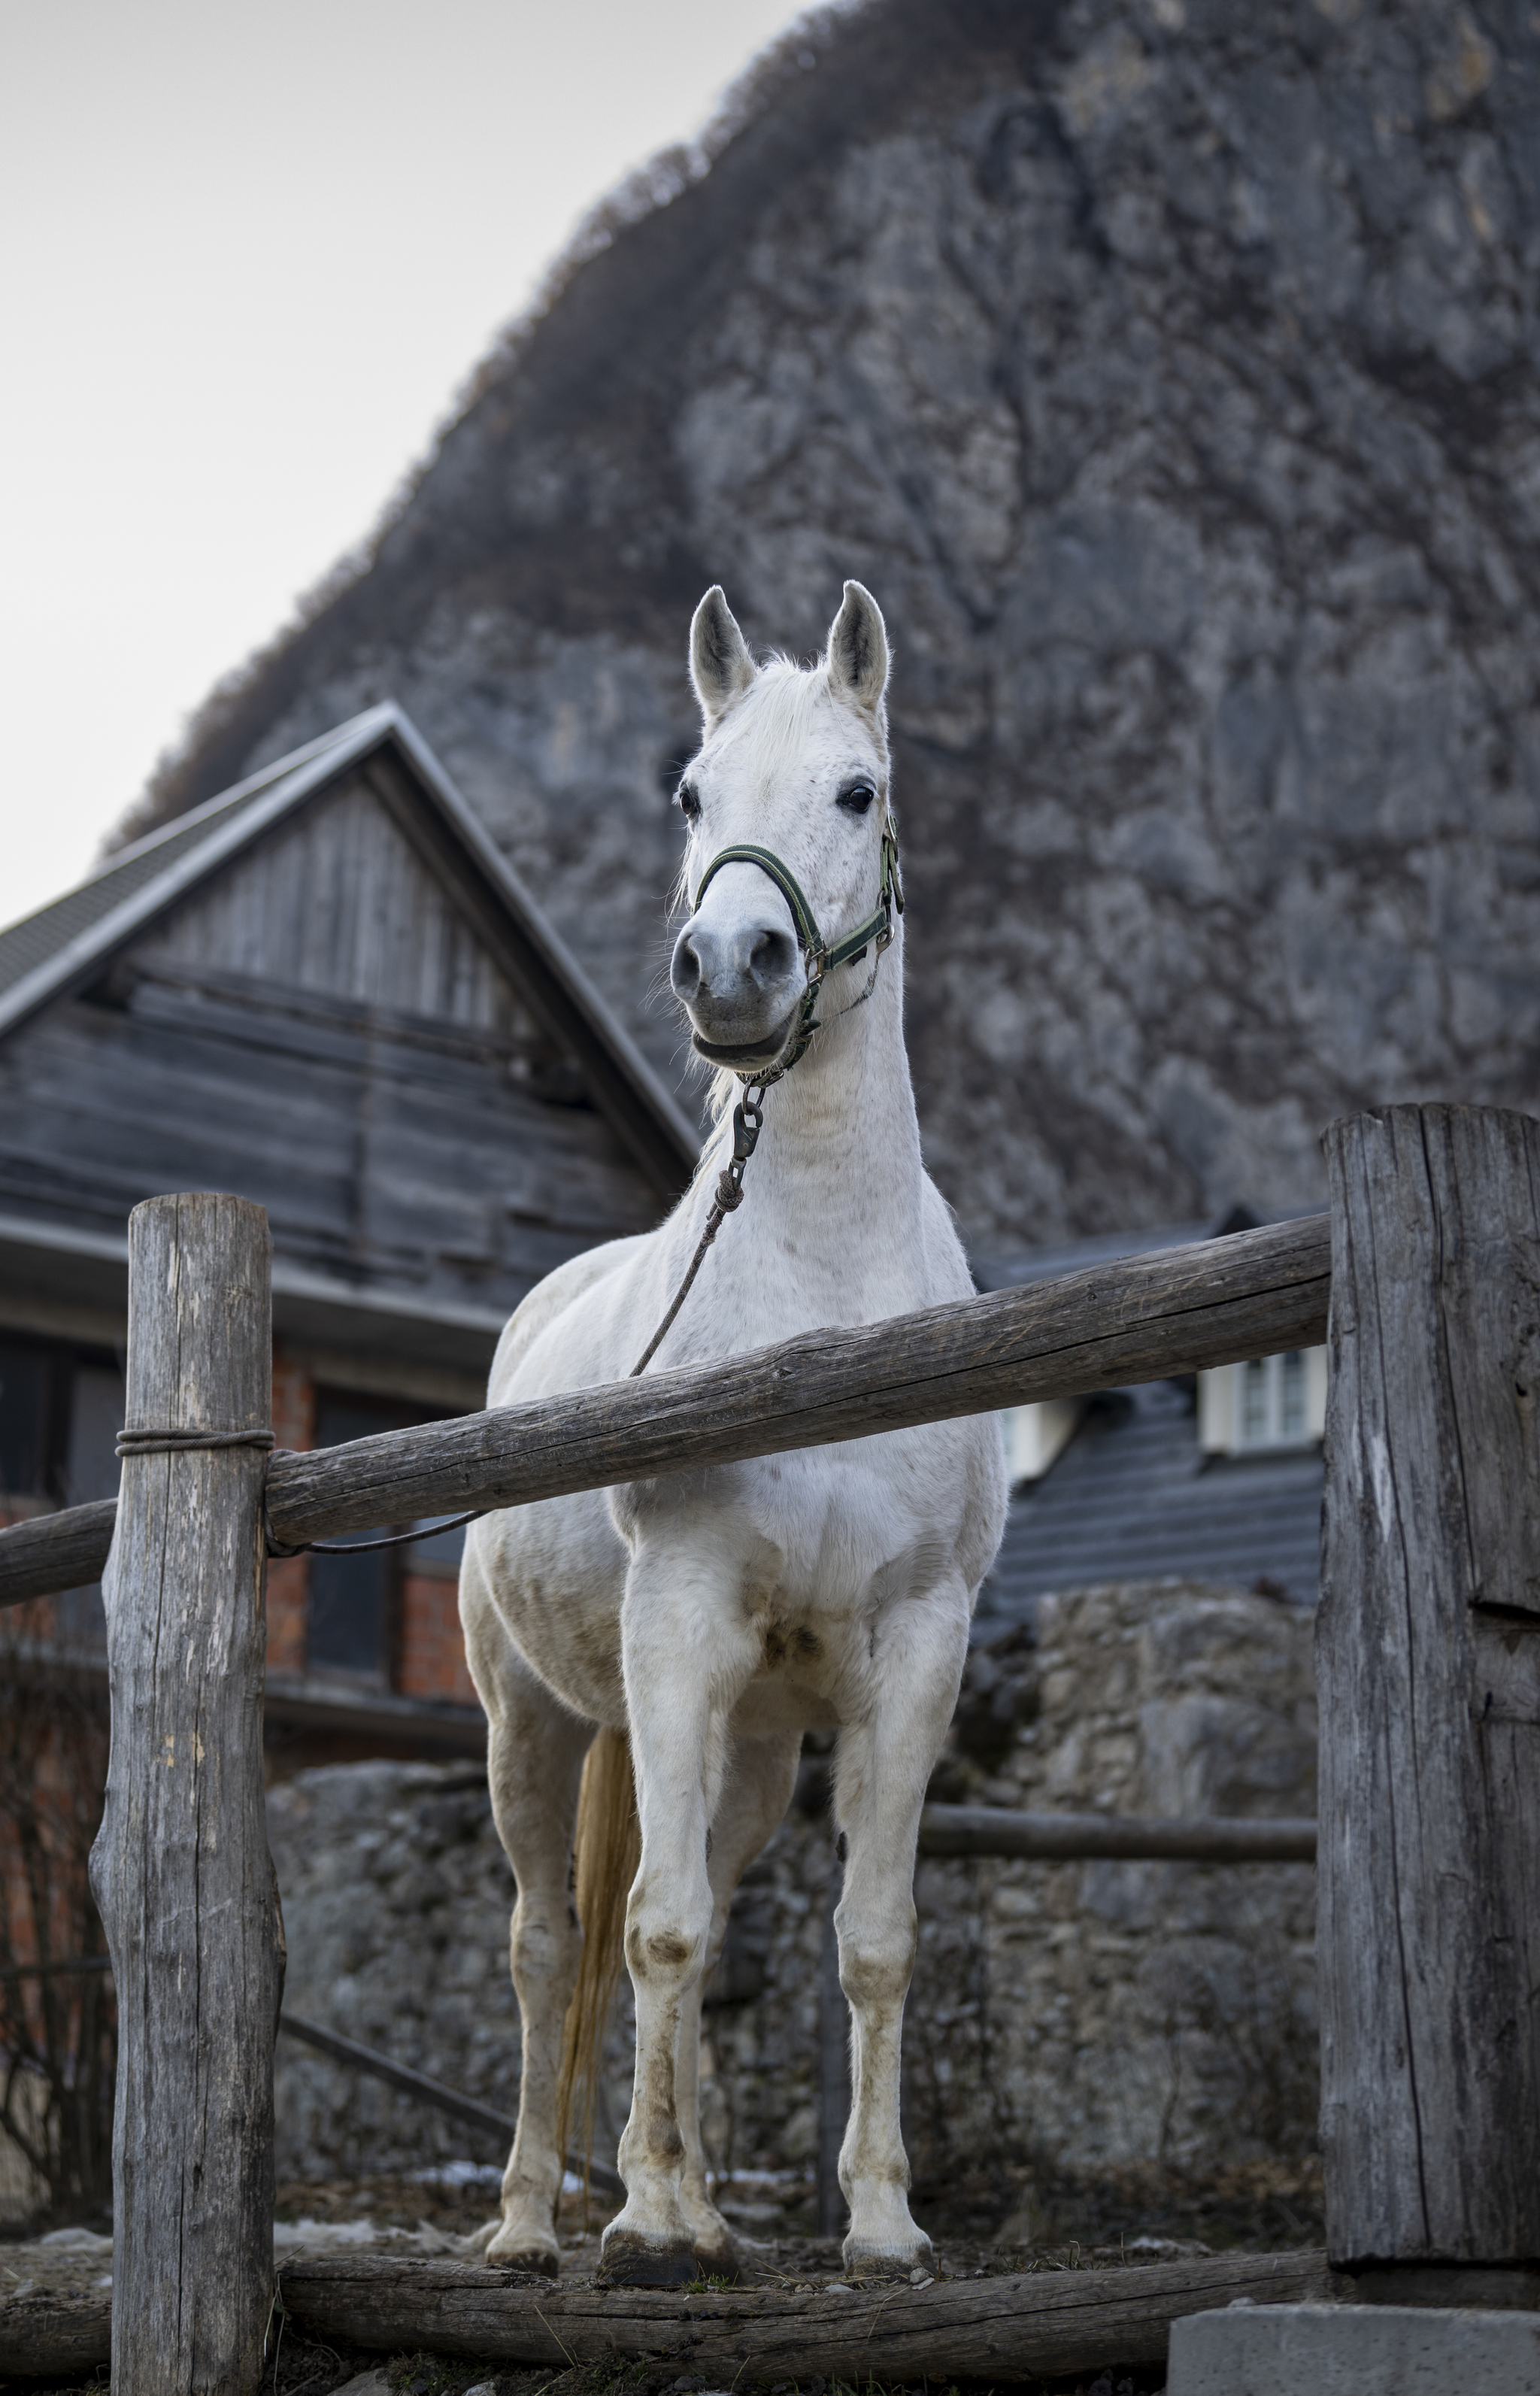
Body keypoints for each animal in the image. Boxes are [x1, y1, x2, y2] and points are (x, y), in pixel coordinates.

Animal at [457, 580, 1011, 2281]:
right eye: (693, 796)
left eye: (858, 791)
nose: (732, 963)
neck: (824, 1306)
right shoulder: (684, 1619)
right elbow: (653, 1930)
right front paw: (634, 2216)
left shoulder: (914, 1646)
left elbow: (870, 1942)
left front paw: (881, 2222)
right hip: (535, 1716)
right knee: (551, 1940)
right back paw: (538, 2219)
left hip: (747, 1748)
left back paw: (702, 2208)